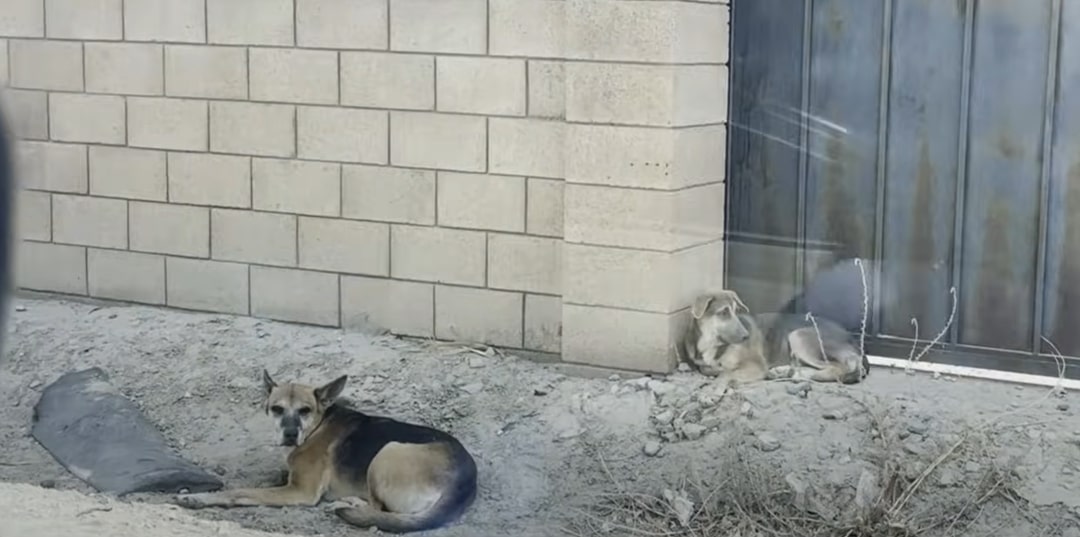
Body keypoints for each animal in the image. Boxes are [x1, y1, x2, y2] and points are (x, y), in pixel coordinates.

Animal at [174, 371, 479, 531]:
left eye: (305, 411)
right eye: (277, 409)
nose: (289, 435)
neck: (318, 426)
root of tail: (465, 482)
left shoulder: (300, 492)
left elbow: (240, 492)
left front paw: (198, 498)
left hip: (388, 452)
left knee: (378, 507)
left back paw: (351, 504)